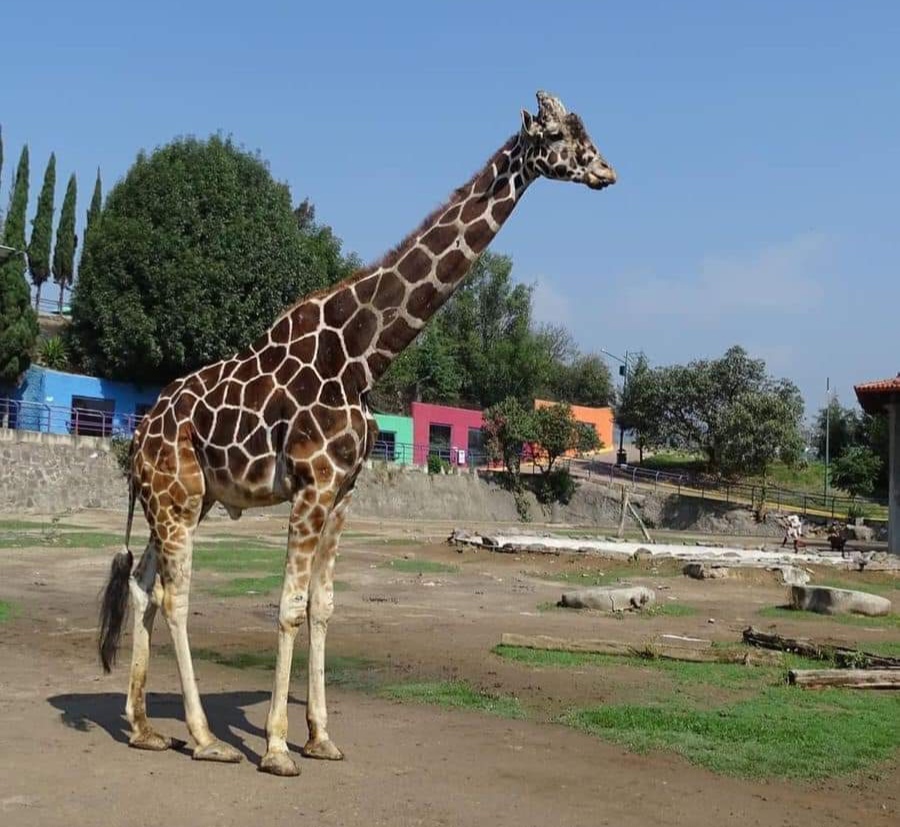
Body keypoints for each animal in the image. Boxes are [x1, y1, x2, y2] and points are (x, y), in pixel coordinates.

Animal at [98, 90, 616, 776]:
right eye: (558, 133)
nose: (606, 171)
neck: (365, 355)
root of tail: (138, 435)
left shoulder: (343, 493)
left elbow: (323, 608)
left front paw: (320, 736)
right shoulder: (312, 483)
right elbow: (289, 609)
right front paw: (277, 749)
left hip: (185, 500)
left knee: (141, 587)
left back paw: (142, 727)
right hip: (175, 499)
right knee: (175, 597)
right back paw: (206, 739)